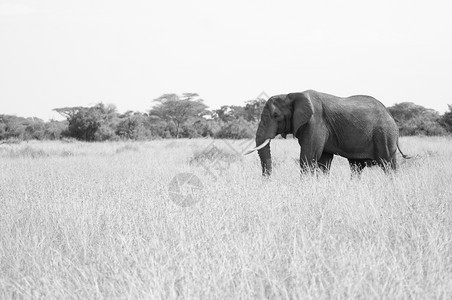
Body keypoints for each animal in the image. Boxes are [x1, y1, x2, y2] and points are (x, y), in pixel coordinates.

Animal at [245, 89, 408, 176]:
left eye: (276, 115)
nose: (267, 182)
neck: (291, 94)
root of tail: (390, 115)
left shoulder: (315, 122)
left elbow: (308, 157)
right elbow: (323, 161)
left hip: (385, 134)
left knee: (388, 165)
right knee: (356, 167)